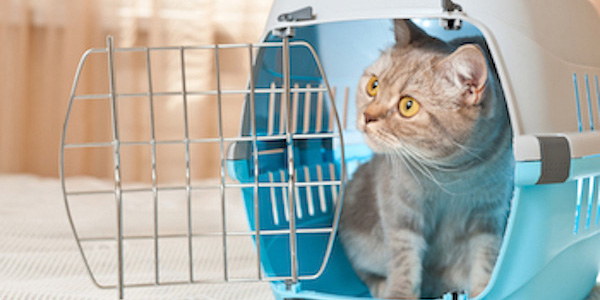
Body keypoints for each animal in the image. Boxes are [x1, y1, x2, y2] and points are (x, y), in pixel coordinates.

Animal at [340, 19, 512, 298]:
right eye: (373, 86)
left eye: (407, 106)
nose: (367, 116)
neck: (453, 174)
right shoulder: (400, 214)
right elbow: (403, 262)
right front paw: (398, 293)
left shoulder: (488, 216)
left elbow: (486, 258)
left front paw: (483, 290)